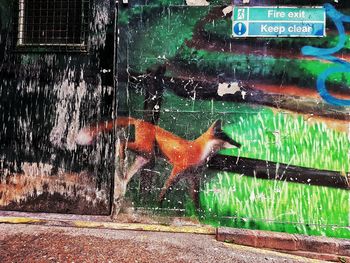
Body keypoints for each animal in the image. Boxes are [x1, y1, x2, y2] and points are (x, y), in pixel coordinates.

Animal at [75, 118, 241, 208]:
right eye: (227, 138)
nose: (239, 144)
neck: (200, 152)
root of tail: (140, 120)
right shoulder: (177, 170)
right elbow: (165, 190)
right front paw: (158, 205)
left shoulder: (193, 177)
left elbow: (196, 201)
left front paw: (198, 216)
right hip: (147, 151)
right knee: (121, 141)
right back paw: (120, 159)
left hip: (146, 157)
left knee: (126, 176)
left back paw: (121, 183)